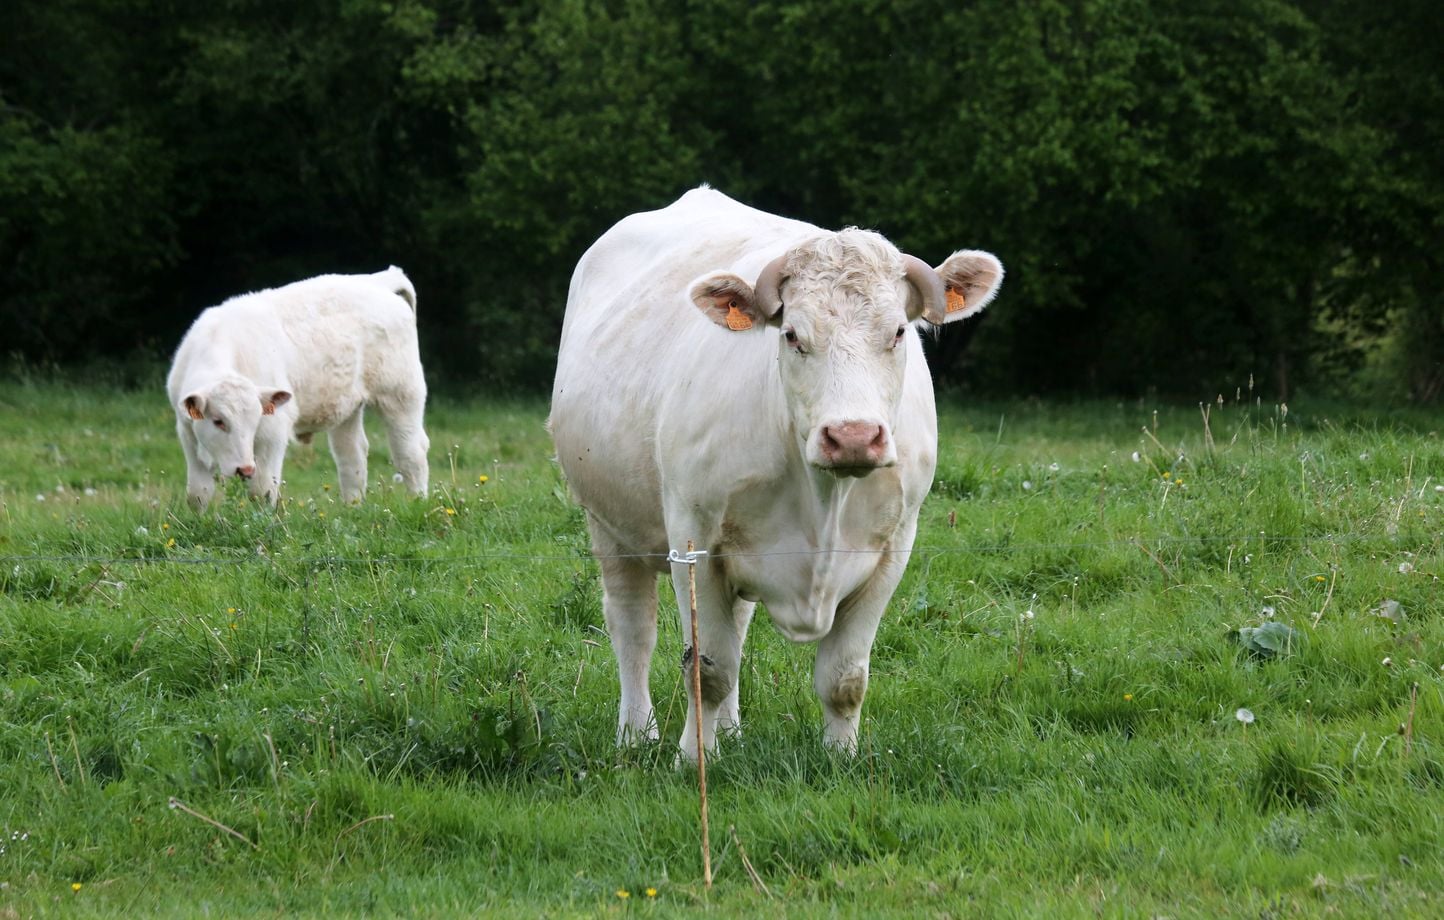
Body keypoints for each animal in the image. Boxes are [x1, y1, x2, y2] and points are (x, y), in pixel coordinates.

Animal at [166, 266, 430, 510]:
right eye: (218, 421)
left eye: (255, 421)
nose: (245, 469)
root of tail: (378, 280)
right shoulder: (187, 433)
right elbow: (198, 494)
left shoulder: (273, 430)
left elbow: (262, 491)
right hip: (347, 406)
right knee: (352, 456)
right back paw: (352, 509)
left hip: (401, 393)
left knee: (411, 453)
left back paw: (417, 502)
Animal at [549, 188, 1003, 761]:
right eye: (792, 335)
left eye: (899, 331)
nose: (853, 435)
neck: (824, 497)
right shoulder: (693, 542)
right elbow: (707, 670)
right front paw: (694, 758)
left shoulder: (893, 549)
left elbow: (845, 677)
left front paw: (840, 758)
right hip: (608, 523)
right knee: (633, 627)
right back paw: (636, 734)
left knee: (736, 628)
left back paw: (731, 731)